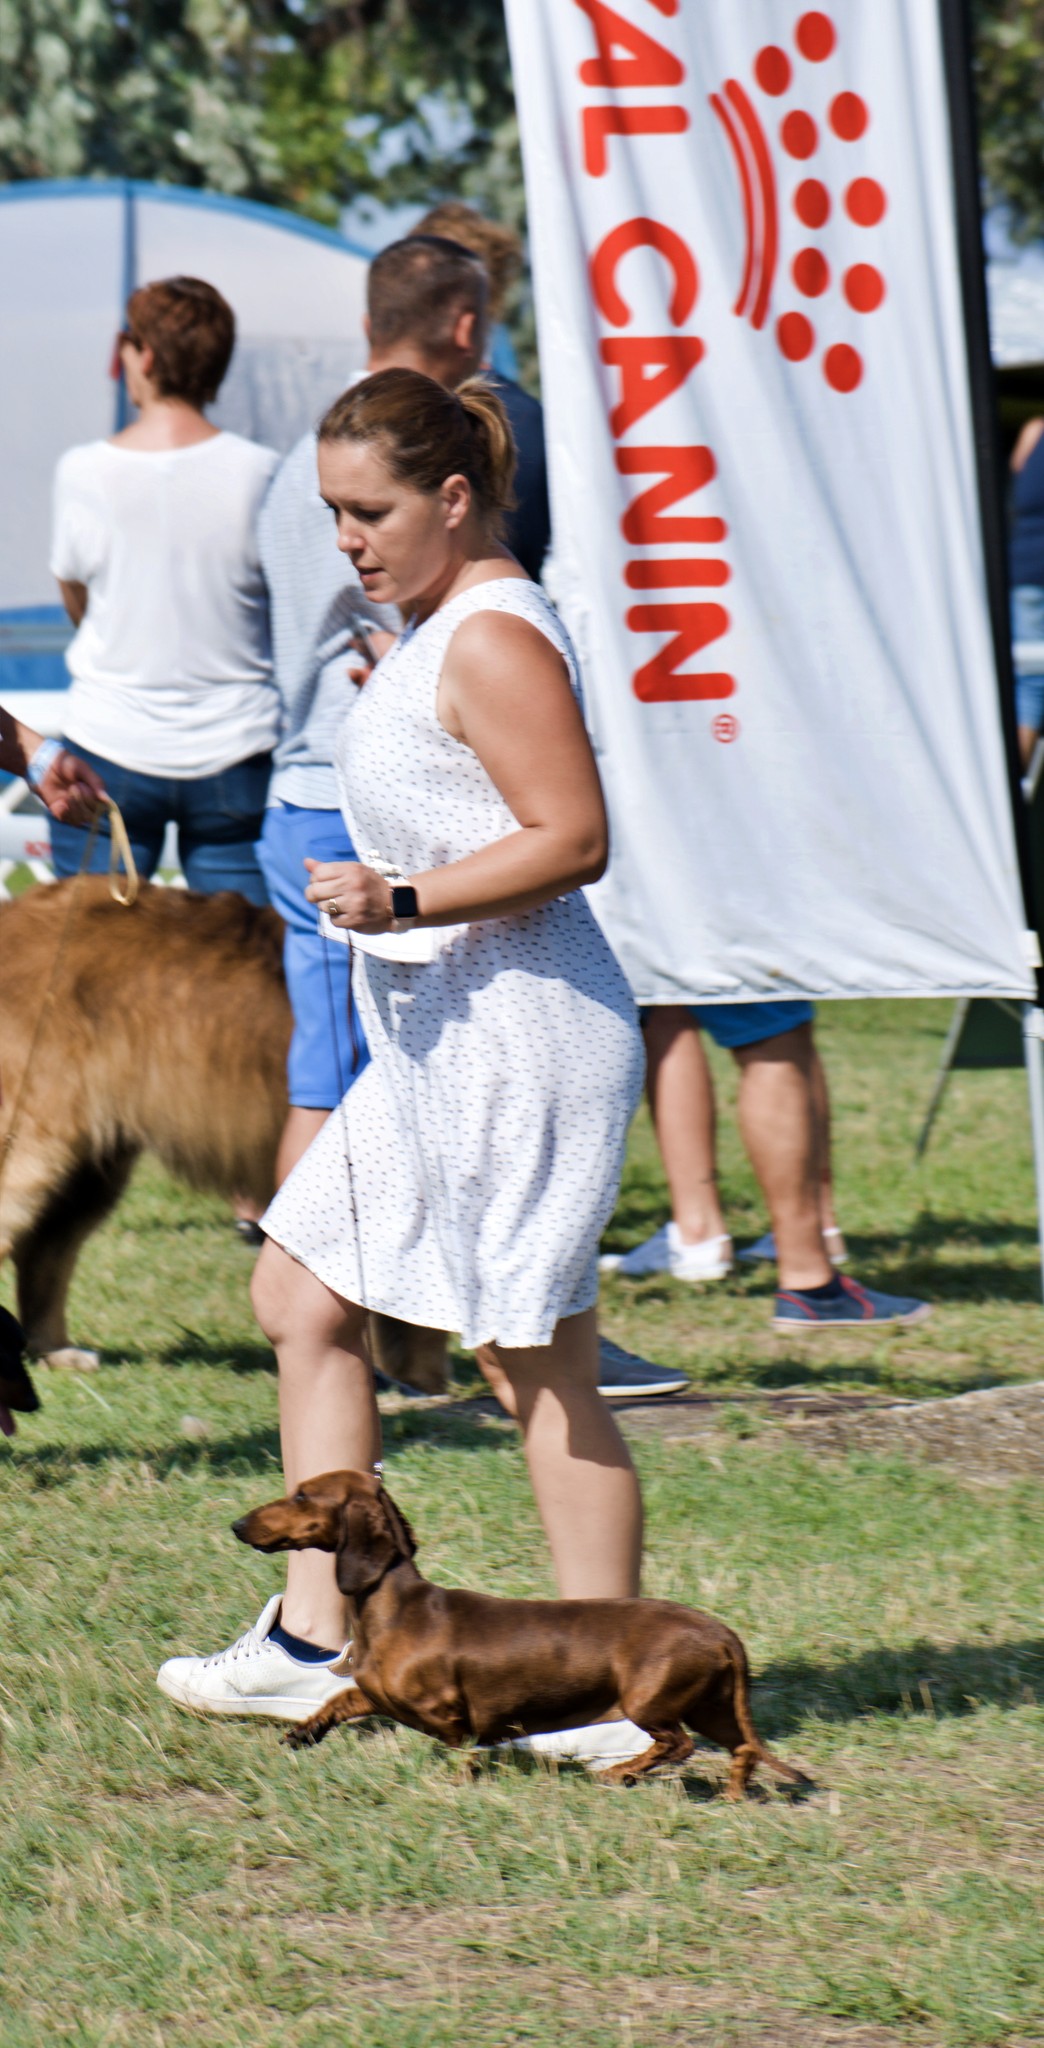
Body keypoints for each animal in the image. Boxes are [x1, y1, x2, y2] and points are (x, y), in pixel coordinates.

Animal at [234, 1470, 811, 1795]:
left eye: (302, 1496)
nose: (238, 1525)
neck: (396, 1608)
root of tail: (721, 1632)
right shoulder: (376, 1692)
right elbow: (340, 1699)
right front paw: (304, 1732)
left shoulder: (447, 1713)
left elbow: (464, 1746)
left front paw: (462, 1778)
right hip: (711, 1706)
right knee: (742, 1750)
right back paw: (732, 1797)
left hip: (651, 1702)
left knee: (678, 1745)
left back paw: (619, 1773)